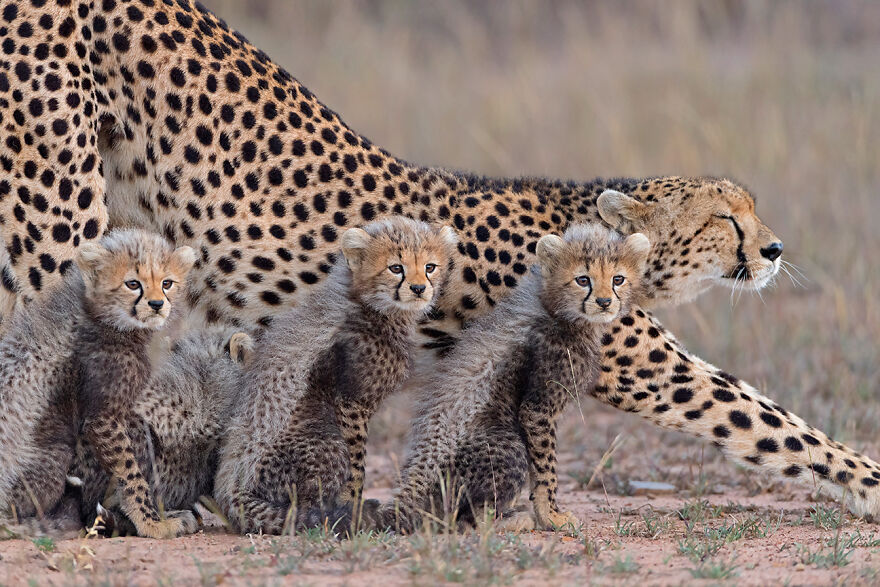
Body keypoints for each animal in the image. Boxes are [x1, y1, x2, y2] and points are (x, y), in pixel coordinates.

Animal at [215, 217, 457, 535]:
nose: (418, 288)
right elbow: (357, 464)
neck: (372, 306)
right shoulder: (350, 403)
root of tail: (228, 485)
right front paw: (352, 508)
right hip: (323, 436)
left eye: (430, 267)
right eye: (396, 268)